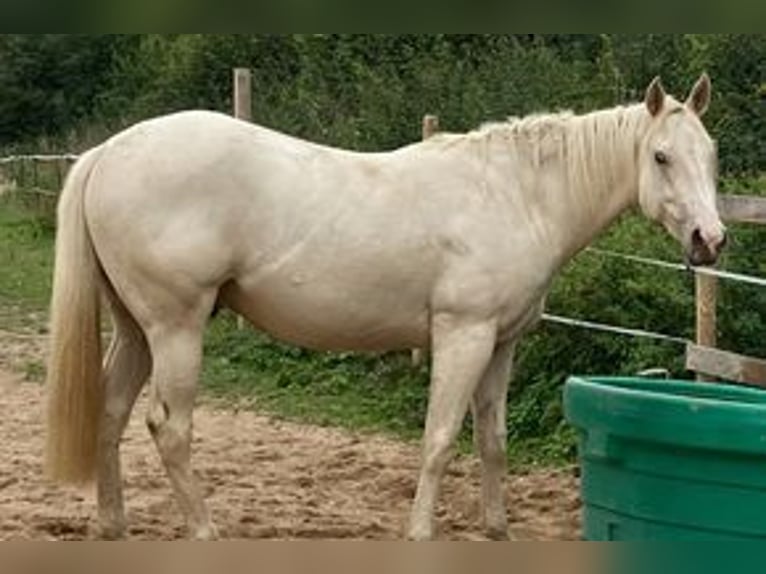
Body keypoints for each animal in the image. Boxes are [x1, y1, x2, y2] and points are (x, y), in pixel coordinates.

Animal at [45, 74, 725, 540]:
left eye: (711, 153)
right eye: (661, 156)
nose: (710, 240)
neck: (515, 195)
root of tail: (108, 153)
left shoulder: (502, 343)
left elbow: (493, 439)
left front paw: (497, 530)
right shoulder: (463, 336)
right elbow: (441, 438)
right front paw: (421, 532)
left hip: (135, 330)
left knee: (110, 412)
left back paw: (113, 525)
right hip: (176, 328)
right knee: (170, 428)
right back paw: (205, 532)